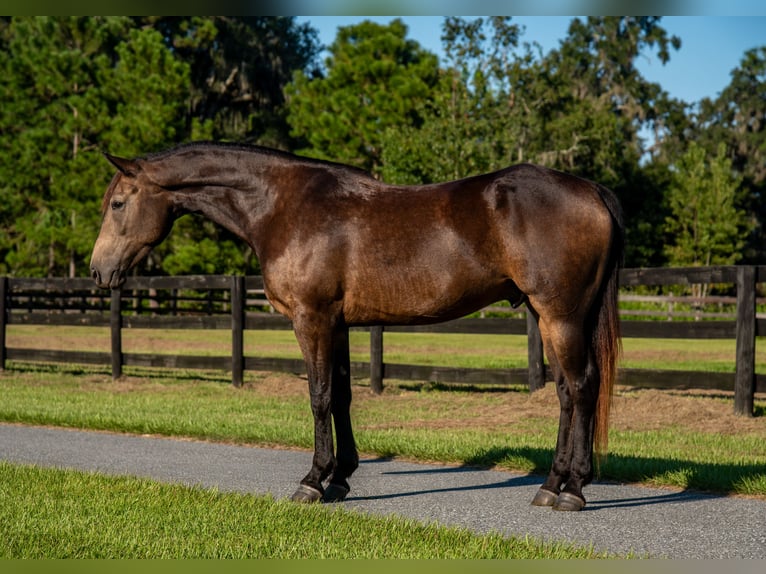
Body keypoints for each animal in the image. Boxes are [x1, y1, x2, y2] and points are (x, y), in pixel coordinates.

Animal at [90, 141, 623, 511]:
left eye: (118, 204)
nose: (98, 271)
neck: (282, 206)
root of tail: (592, 191)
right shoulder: (339, 323)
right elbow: (342, 395)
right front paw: (341, 479)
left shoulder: (311, 318)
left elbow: (319, 396)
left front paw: (312, 482)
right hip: (546, 315)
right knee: (565, 393)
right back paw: (550, 485)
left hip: (561, 314)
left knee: (581, 387)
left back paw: (573, 490)